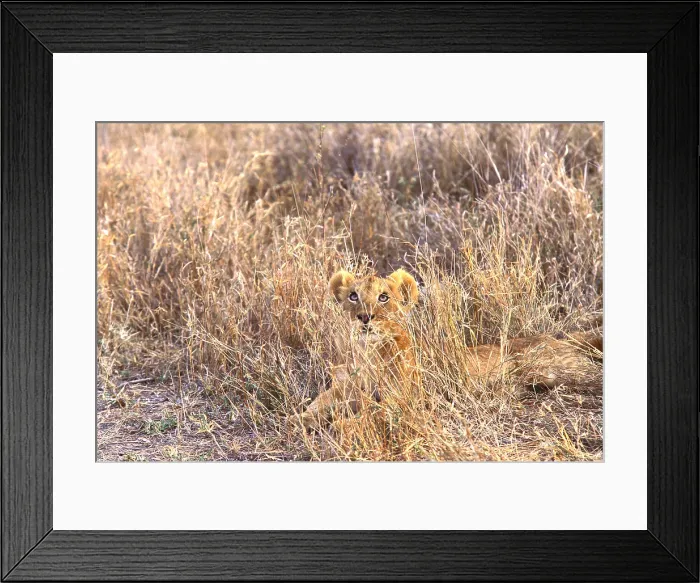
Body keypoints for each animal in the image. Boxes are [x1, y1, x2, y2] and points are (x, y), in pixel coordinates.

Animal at [299, 267, 602, 430]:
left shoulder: (404, 400)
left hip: (556, 371)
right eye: (353, 296)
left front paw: (341, 425)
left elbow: (373, 413)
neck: (368, 353)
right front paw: (304, 419)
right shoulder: (345, 387)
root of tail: (558, 337)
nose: (364, 317)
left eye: (383, 297)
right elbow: (319, 403)